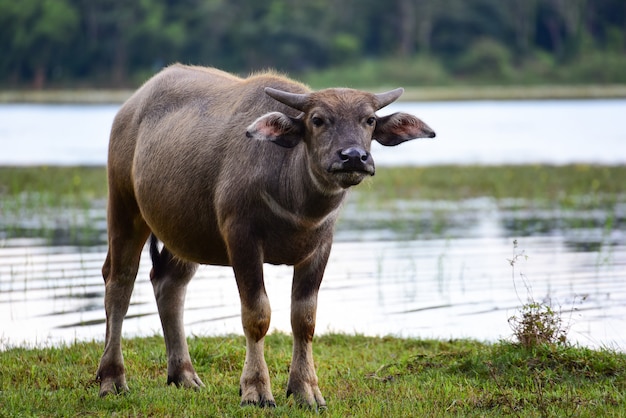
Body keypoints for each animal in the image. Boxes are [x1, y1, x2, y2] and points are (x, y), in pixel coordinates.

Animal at [96, 64, 434, 408]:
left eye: (369, 120)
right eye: (317, 119)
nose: (353, 156)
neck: (296, 201)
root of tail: (129, 109)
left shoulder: (321, 247)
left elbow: (304, 319)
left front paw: (306, 390)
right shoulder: (241, 239)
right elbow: (257, 315)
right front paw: (256, 389)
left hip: (186, 234)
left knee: (169, 283)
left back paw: (184, 375)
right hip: (124, 206)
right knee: (119, 282)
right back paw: (111, 379)